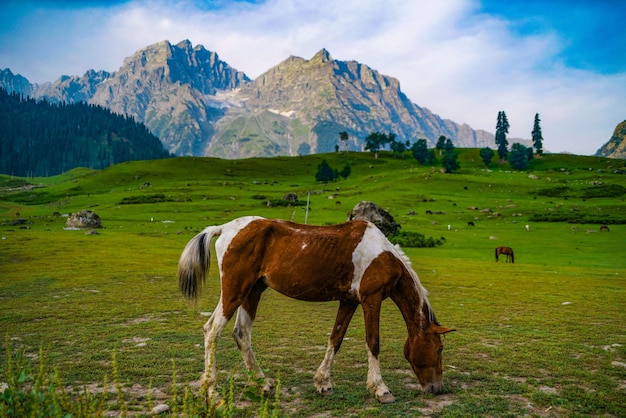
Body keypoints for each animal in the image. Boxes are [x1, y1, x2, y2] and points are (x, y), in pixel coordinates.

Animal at [178, 216, 450, 402]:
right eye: (439, 348)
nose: (437, 388)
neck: (382, 256)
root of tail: (224, 229)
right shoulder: (371, 300)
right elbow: (373, 342)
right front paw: (380, 389)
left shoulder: (349, 301)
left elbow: (336, 338)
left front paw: (323, 382)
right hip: (234, 291)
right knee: (212, 330)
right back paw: (210, 390)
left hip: (252, 291)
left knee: (242, 334)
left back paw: (263, 384)